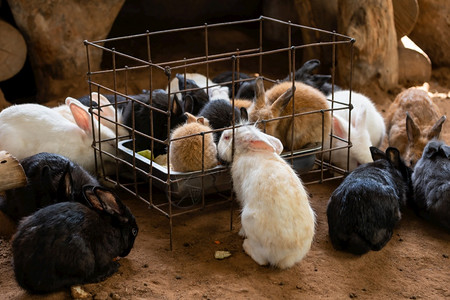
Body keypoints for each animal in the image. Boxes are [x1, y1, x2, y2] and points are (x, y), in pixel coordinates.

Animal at [216, 123, 314, 268]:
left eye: (227, 137)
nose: (218, 142)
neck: (249, 151)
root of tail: (283, 258)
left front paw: (241, 233)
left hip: (248, 218)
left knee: (261, 259)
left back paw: (246, 245)